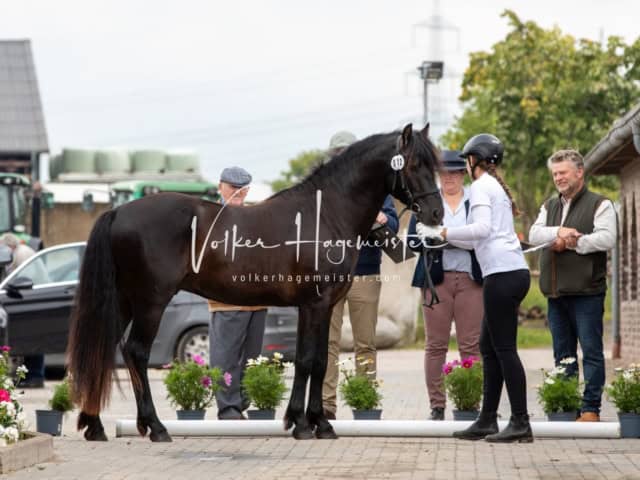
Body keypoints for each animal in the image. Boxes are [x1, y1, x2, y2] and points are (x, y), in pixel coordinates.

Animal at [67, 123, 442, 442]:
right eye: (413, 164)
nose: (436, 213)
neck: (326, 213)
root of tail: (119, 212)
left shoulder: (323, 306)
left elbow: (320, 361)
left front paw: (319, 423)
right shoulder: (314, 304)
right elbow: (308, 361)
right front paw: (301, 424)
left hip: (124, 300)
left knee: (104, 350)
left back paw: (96, 426)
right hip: (150, 302)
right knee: (135, 352)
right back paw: (156, 427)